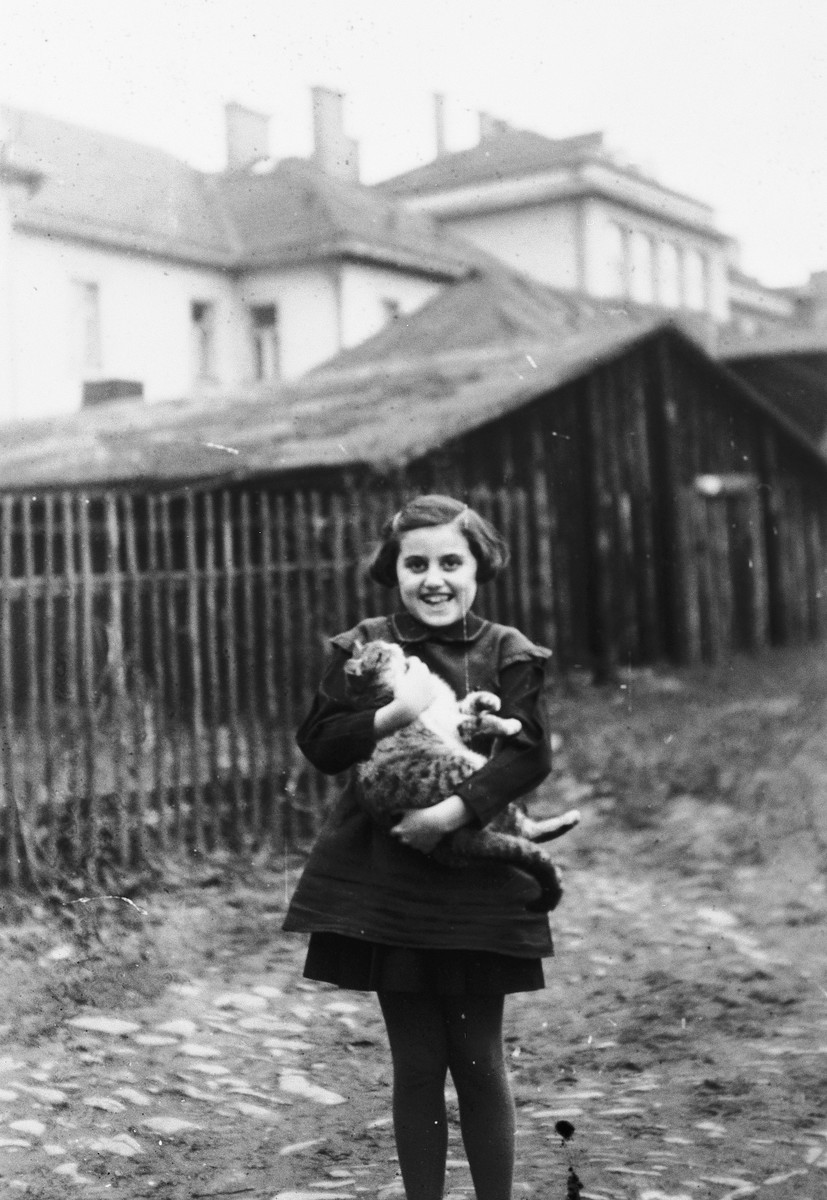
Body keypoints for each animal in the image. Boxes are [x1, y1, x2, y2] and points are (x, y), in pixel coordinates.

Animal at [338, 643, 578, 912]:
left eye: (382, 646)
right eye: (379, 655)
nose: (393, 646)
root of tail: (454, 842)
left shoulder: (454, 711)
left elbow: (470, 704)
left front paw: (489, 699)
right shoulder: (455, 725)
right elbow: (480, 721)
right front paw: (508, 724)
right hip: (469, 768)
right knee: (518, 827)